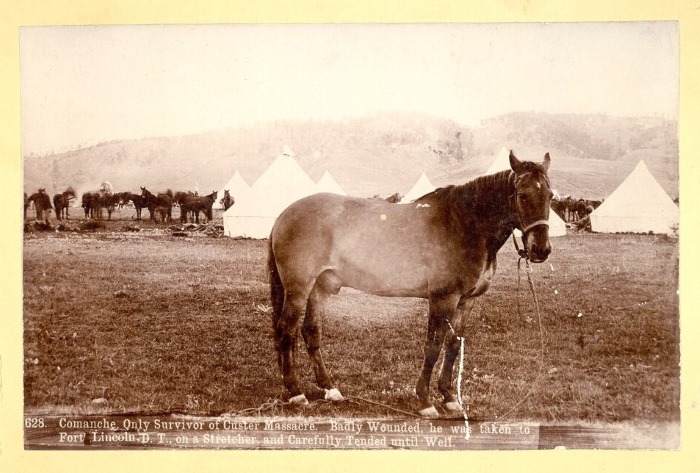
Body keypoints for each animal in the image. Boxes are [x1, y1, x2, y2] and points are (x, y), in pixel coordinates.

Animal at [268, 149, 552, 414]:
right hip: (299, 288)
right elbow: (433, 346)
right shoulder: (443, 299)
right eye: (522, 195)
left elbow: (453, 344)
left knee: (310, 331)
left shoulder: (466, 301)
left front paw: (449, 397)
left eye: (551, 196)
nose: (541, 250)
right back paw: (296, 392)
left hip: (320, 287)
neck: (465, 224)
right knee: (286, 331)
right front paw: (425, 401)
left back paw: (330, 389)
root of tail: (284, 215)